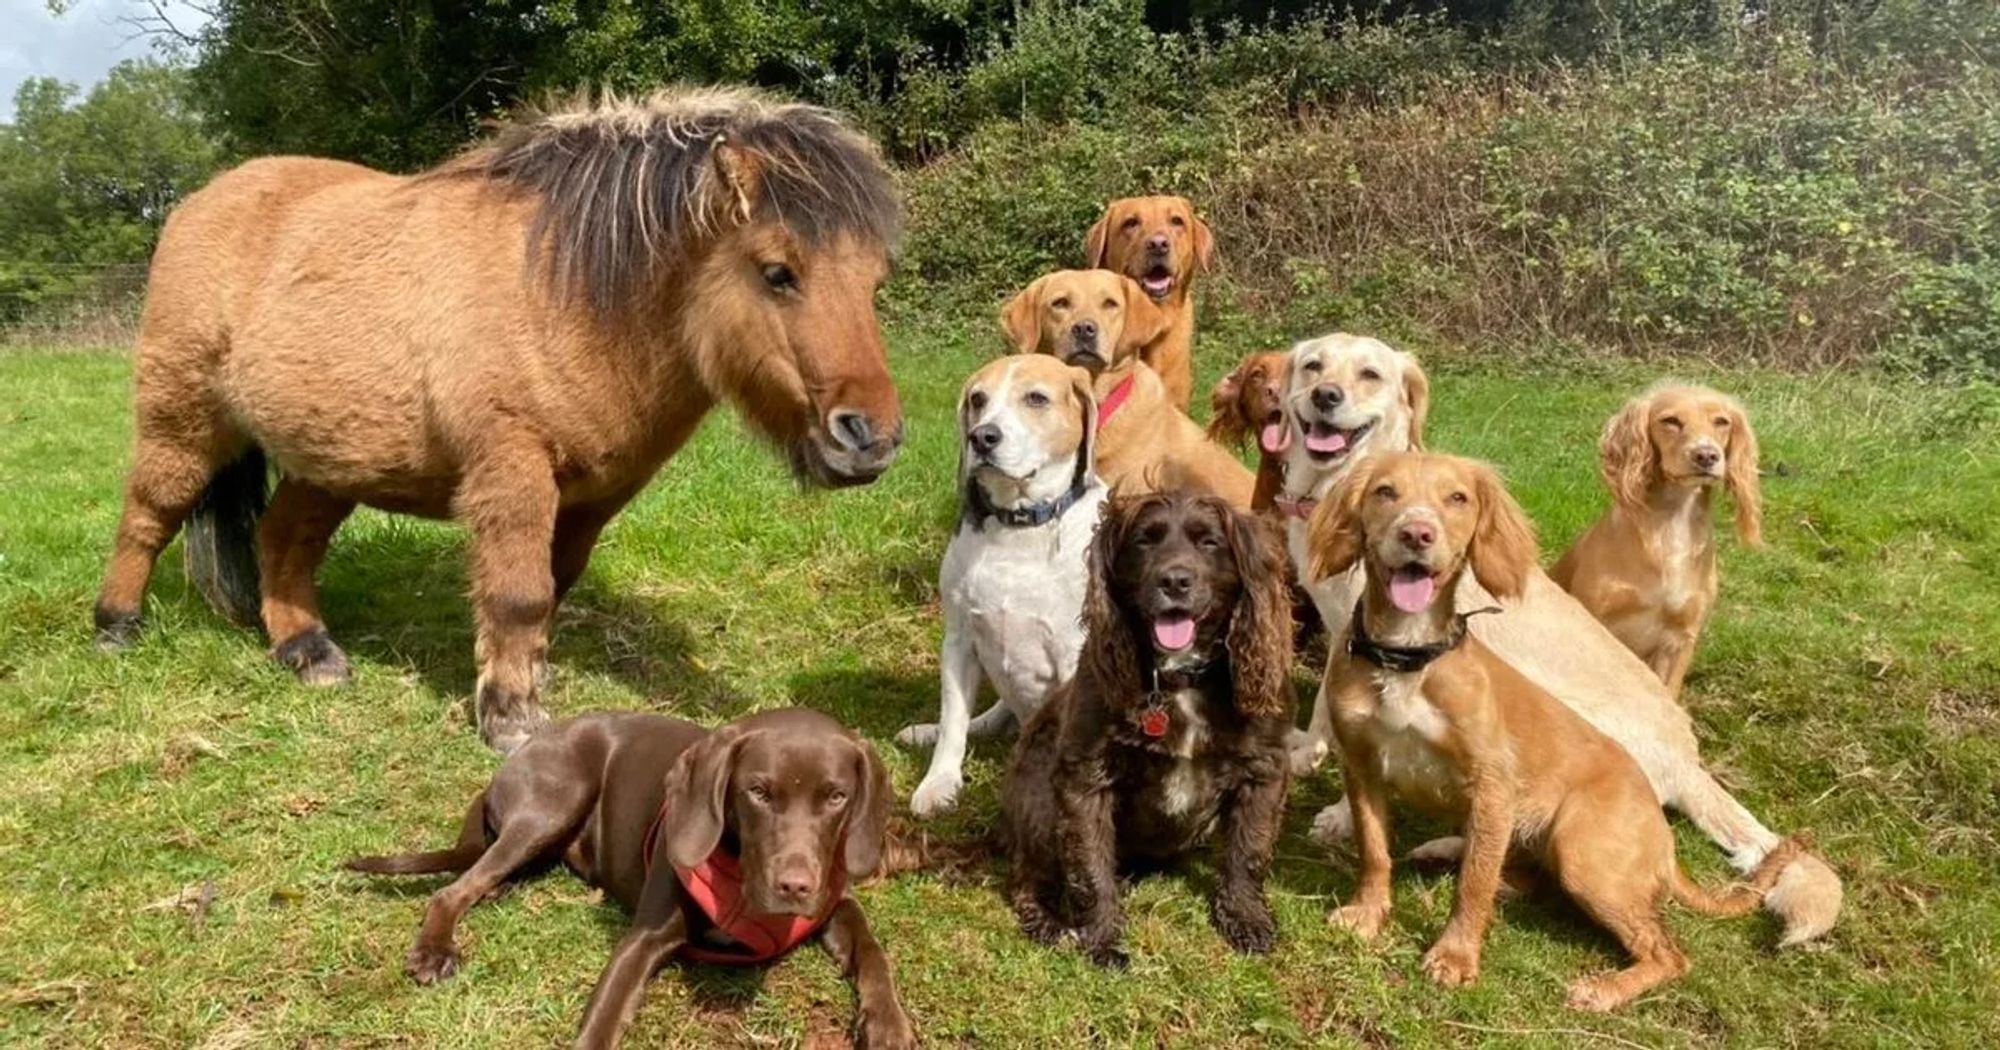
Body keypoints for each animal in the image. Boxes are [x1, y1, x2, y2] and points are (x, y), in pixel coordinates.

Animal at [95, 86, 908, 748]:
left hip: (329, 461)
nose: (872, 439)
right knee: (150, 513)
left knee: (282, 539)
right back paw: (116, 626)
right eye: (778, 273)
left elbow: (549, 589)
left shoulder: (592, 498)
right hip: (184, 421)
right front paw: (510, 720)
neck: (566, 294)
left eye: (873, 281)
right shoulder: (511, 471)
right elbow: (519, 596)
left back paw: (307, 651)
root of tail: (197, 204)